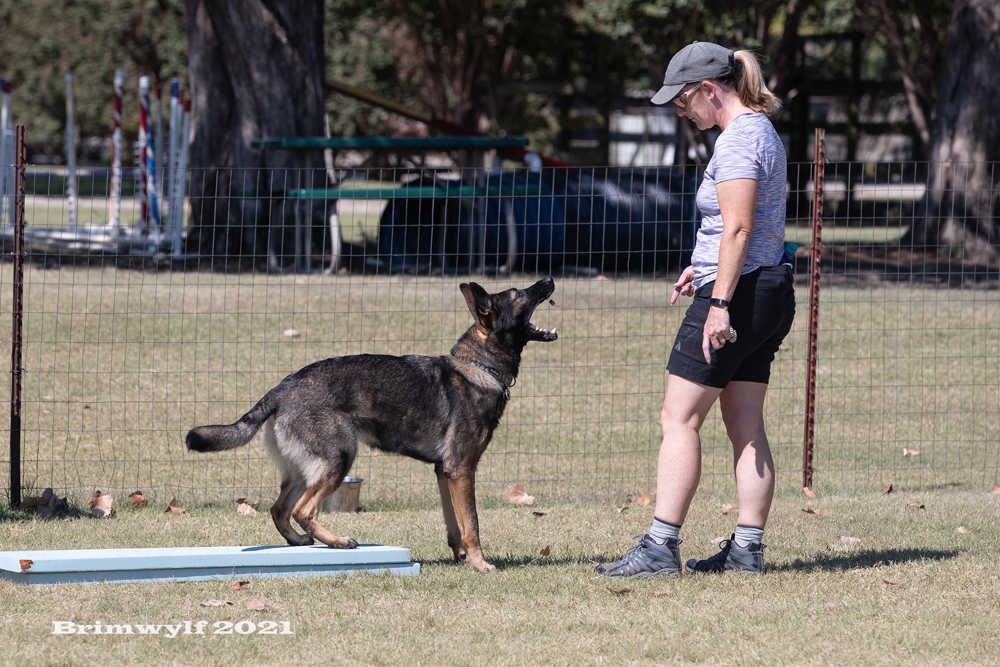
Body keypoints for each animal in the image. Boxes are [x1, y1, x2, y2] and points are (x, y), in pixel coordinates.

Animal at [186, 277, 557, 572]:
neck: (478, 366)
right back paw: (338, 541)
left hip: (303, 470)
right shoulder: (462, 470)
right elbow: (473, 524)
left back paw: (301, 542)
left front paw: (461, 557)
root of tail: (281, 388)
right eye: (519, 294)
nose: (549, 279)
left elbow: (454, 524)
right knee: (304, 510)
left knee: (280, 509)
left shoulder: (445, 472)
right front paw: (480, 564)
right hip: (338, 459)